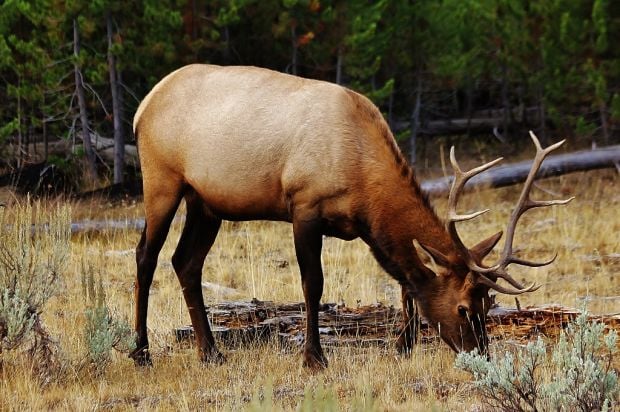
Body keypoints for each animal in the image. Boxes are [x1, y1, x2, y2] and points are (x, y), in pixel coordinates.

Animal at [131, 65, 572, 370]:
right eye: (464, 307)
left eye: (489, 301)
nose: (482, 355)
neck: (362, 173)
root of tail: (143, 106)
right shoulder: (304, 207)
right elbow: (313, 285)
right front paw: (314, 358)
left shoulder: (366, 227)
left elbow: (405, 283)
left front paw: (402, 347)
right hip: (161, 181)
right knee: (146, 257)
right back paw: (142, 352)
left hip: (206, 203)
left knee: (186, 262)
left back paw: (211, 352)